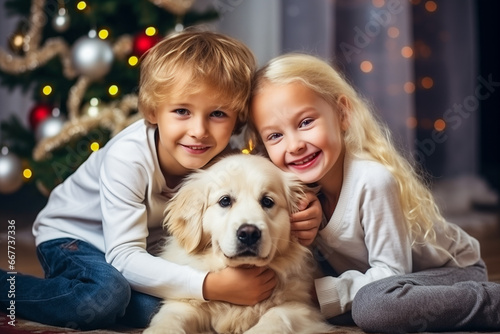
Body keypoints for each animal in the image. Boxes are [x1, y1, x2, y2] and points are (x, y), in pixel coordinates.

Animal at [145, 154, 332, 334]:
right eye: (225, 201)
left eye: (267, 201)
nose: (249, 234)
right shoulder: (183, 304)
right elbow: (169, 319)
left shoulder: (302, 307)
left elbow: (276, 316)